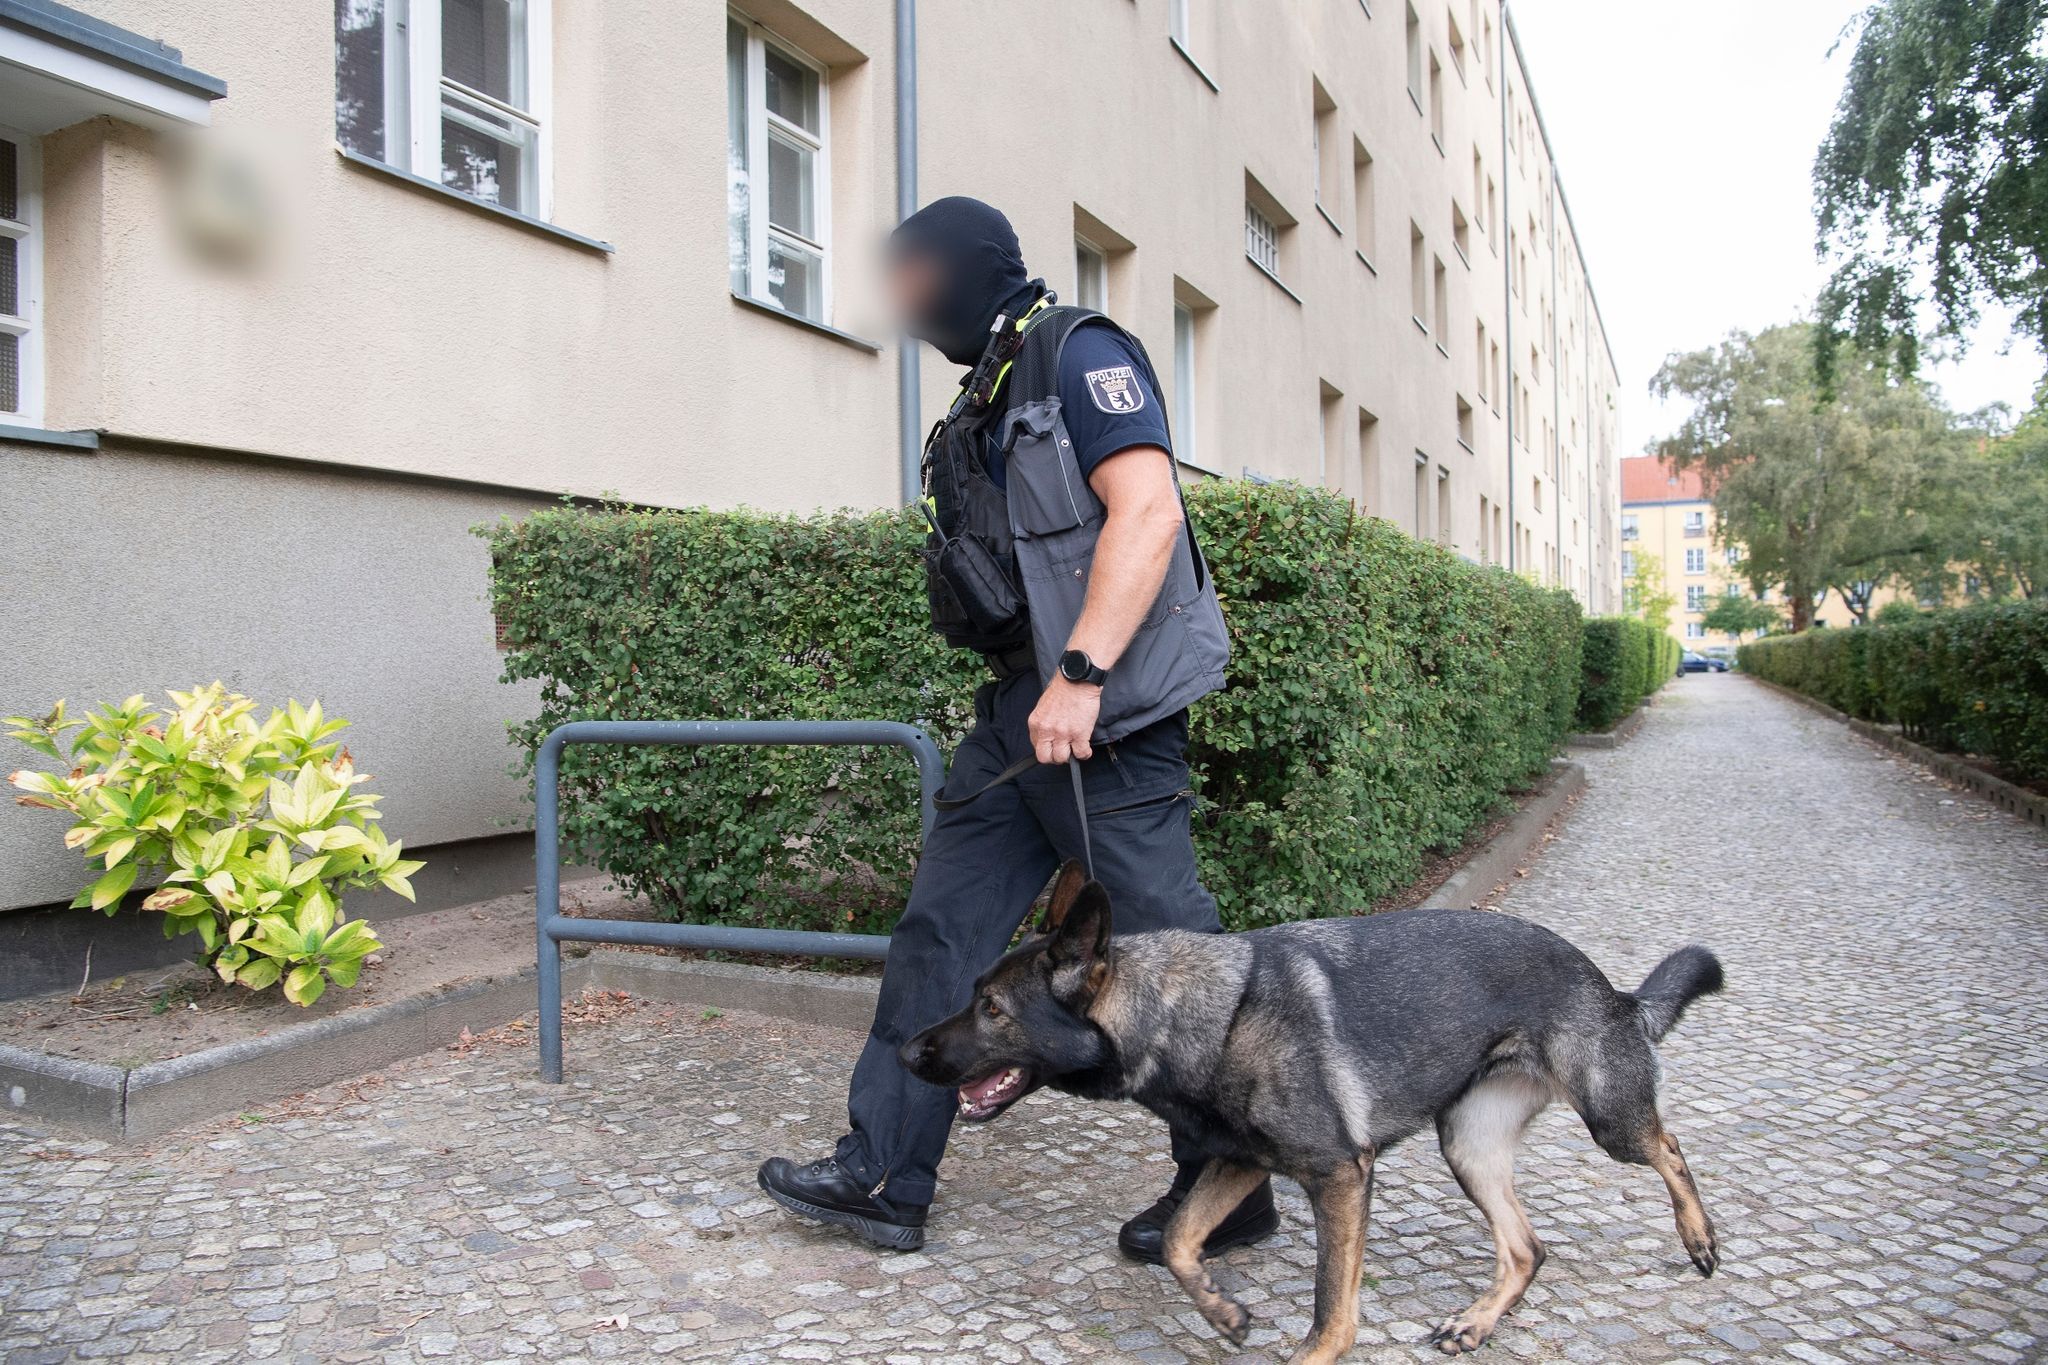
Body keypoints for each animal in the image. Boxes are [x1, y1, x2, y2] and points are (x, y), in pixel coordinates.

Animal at [905, 863, 1720, 1365]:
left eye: (991, 1008)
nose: (907, 1049)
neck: (1206, 1016)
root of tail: (1612, 989)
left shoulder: (1339, 1177)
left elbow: (1333, 1307)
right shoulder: (1241, 1160)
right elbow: (1178, 1240)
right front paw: (1222, 1311)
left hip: (1608, 1120)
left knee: (1670, 1144)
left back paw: (1699, 1236)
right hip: (1468, 1146)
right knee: (1527, 1248)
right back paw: (1477, 1323)